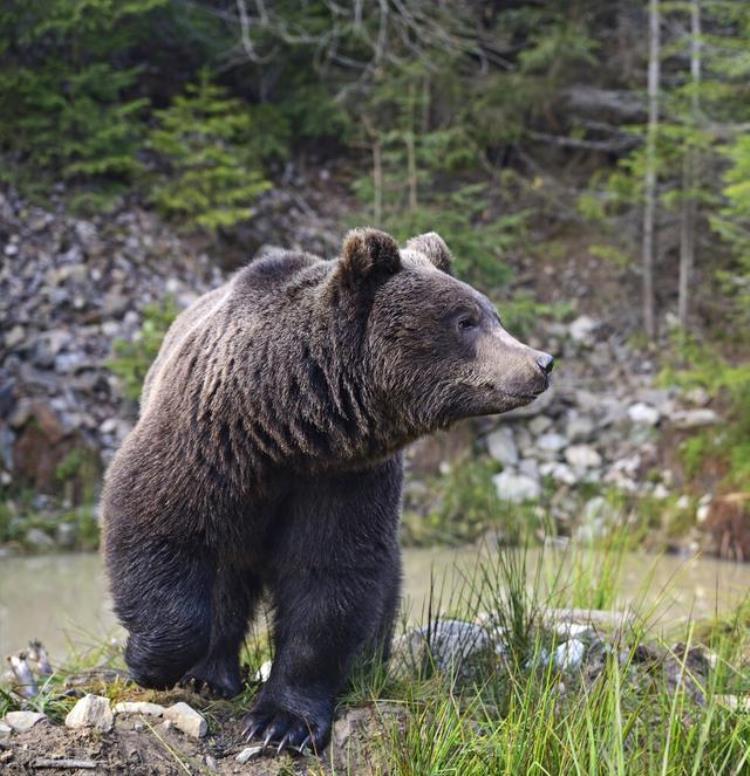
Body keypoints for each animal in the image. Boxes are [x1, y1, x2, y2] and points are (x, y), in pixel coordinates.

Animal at [103, 229, 556, 752]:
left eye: (491, 314)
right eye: (466, 320)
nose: (542, 362)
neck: (286, 426)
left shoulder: (344, 478)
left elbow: (329, 576)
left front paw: (284, 723)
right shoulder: (205, 438)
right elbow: (153, 519)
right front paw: (146, 658)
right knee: (223, 573)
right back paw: (209, 675)